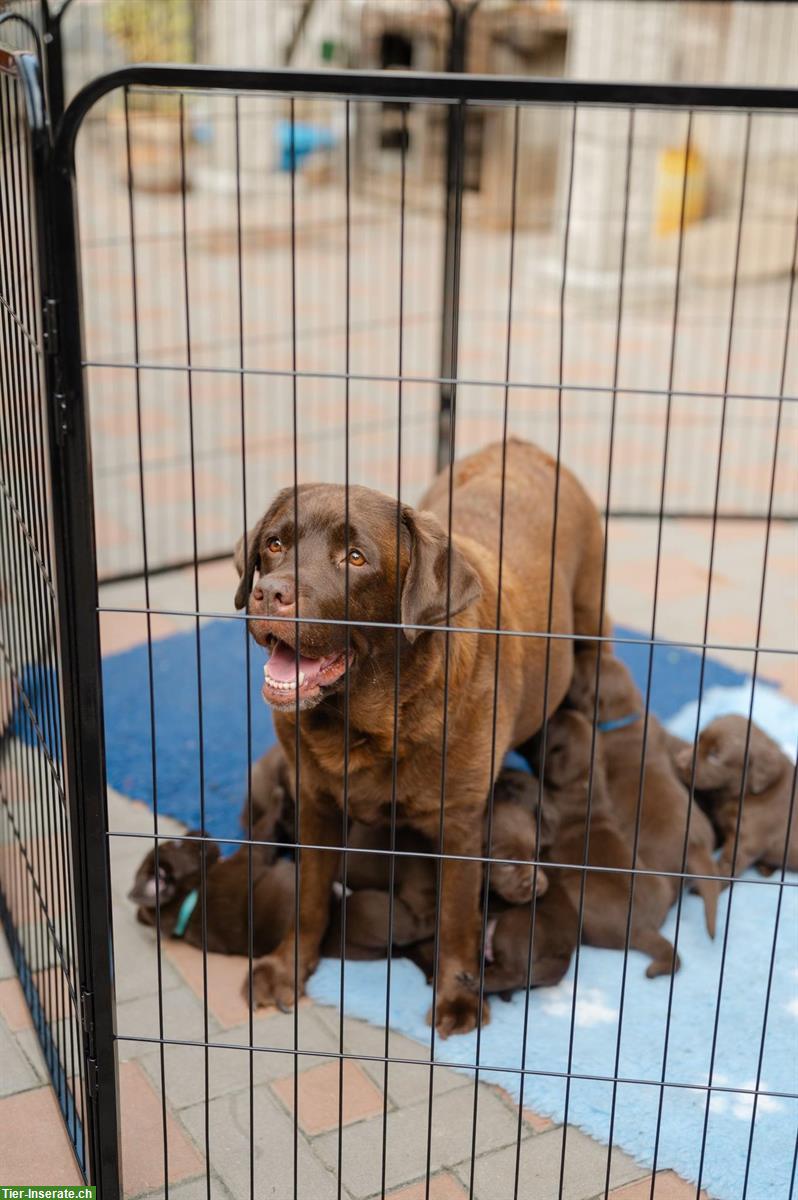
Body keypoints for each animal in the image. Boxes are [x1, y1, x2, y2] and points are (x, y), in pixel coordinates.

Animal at [235, 439, 604, 1032]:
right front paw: (287, 968)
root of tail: (521, 444)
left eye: (355, 558)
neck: (369, 724)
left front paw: (457, 999)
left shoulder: (460, 822)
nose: (269, 593)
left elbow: (456, 916)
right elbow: (309, 897)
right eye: (273, 544)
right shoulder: (314, 799)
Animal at [528, 710, 676, 974]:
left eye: (549, 728)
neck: (585, 785)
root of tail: (643, 927)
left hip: (577, 896)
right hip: (662, 884)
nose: (557, 710)